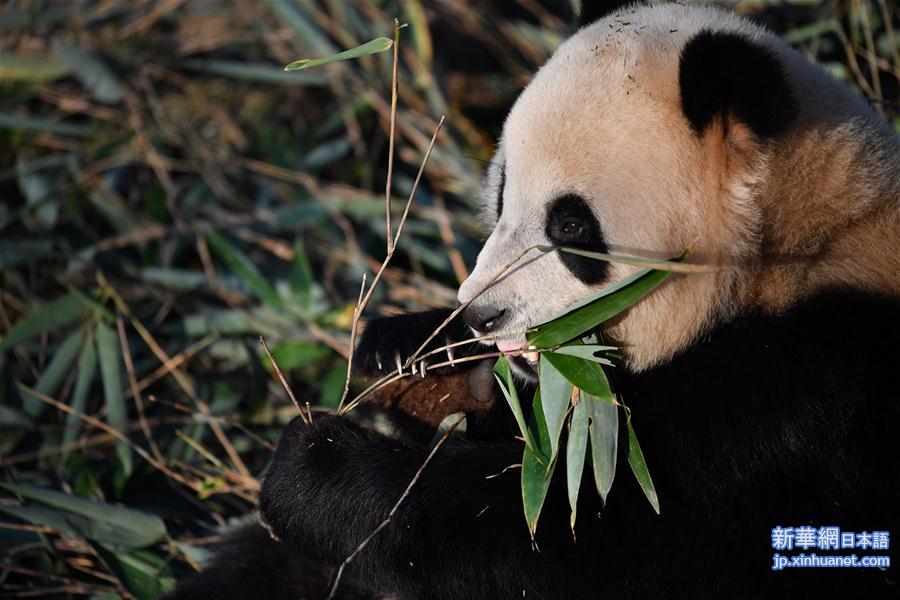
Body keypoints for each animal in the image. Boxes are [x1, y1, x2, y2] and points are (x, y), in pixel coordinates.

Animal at [167, 1, 892, 600]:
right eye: (500, 193)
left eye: (569, 226)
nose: (481, 314)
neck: (795, 248)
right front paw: (407, 357)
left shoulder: (796, 397)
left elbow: (567, 529)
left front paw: (314, 466)